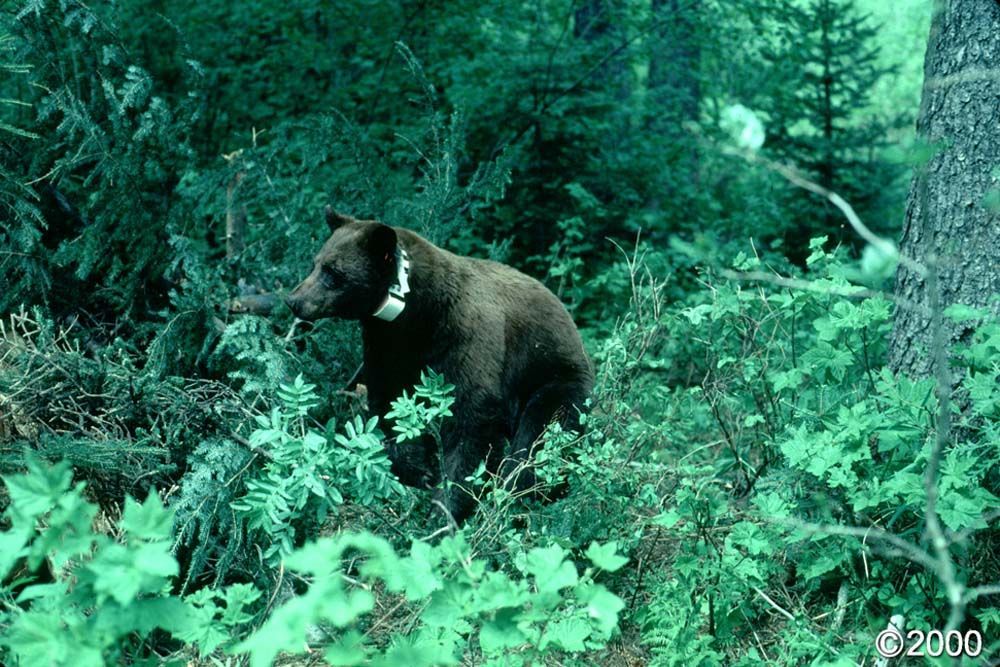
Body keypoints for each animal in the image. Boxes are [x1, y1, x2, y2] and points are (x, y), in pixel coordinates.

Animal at [286, 207, 593, 522]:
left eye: (333, 272)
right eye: (315, 263)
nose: (294, 300)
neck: (416, 315)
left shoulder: (463, 340)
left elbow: (471, 420)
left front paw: (446, 505)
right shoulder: (386, 347)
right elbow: (389, 404)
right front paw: (419, 470)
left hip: (554, 377)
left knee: (541, 434)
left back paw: (522, 489)